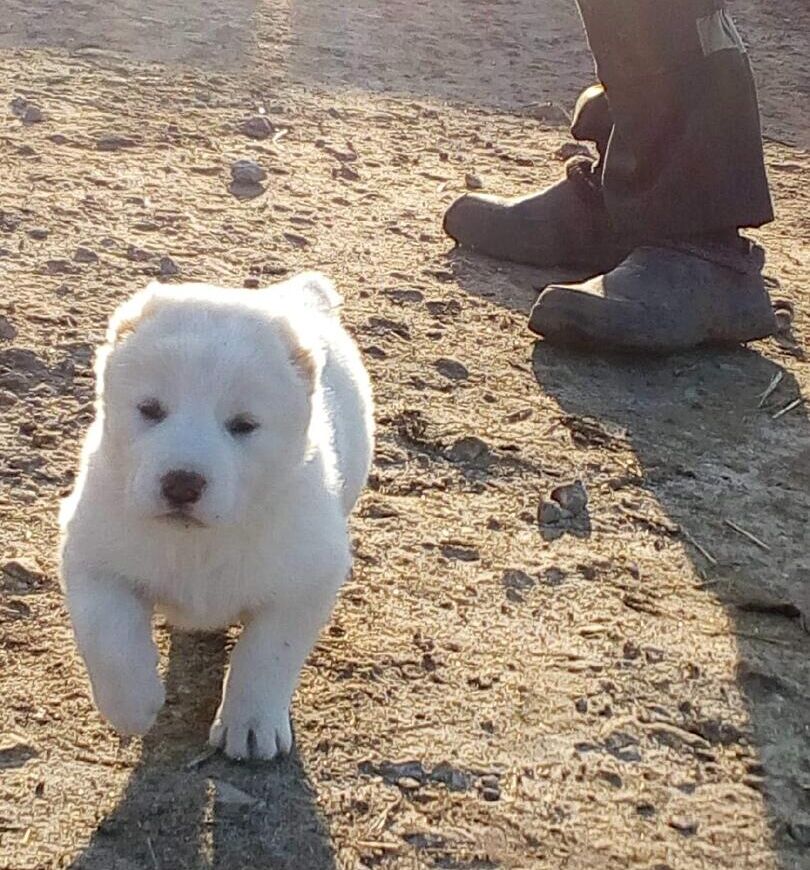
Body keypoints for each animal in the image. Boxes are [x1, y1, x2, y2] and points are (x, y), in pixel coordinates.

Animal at [59, 274, 372, 764]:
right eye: (150, 409)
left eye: (243, 425)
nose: (182, 485)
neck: (199, 543)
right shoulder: (93, 556)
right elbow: (108, 634)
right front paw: (133, 705)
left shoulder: (308, 580)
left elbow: (267, 653)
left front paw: (251, 723)